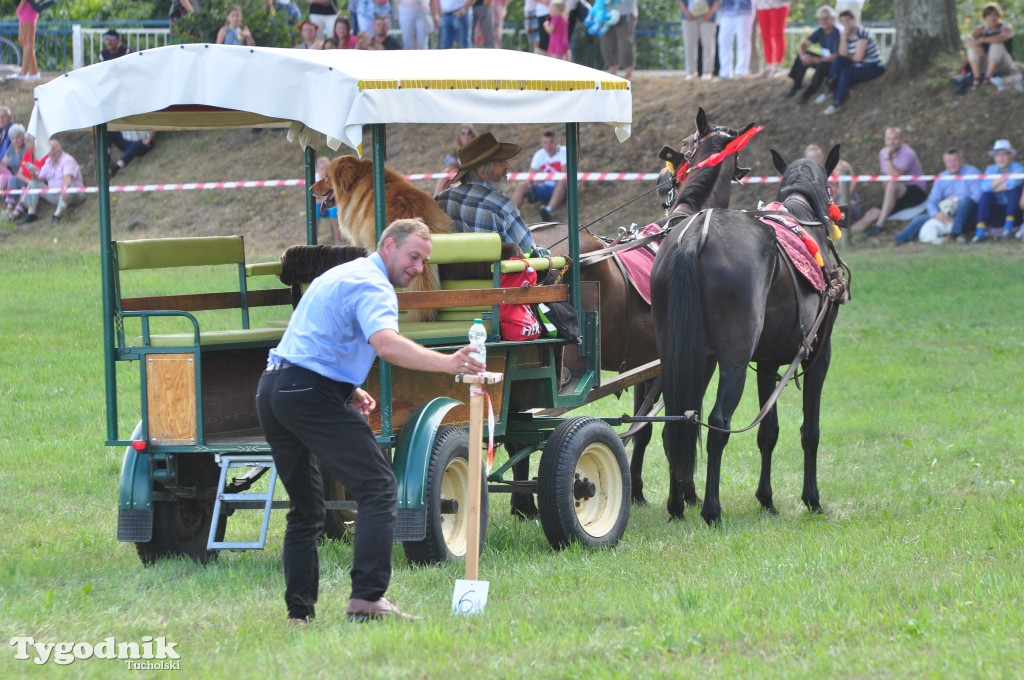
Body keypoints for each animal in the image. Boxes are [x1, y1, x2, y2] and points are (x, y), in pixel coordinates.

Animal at [516, 109, 757, 516]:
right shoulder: (696, 359)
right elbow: (678, 418)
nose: (661, 183)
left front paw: (640, 489)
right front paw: (684, 492)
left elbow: (643, 426)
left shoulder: (648, 363)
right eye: (688, 142)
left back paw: (521, 502)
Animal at [651, 144, 851, 524]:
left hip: (682, 355)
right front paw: (812, 499)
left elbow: (768, 432)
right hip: (734, 359)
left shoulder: (769, 362)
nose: (842, 216)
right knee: (718, 422)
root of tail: (694, 238)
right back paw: (712, 510)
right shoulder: (819, 355)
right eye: (832, 190)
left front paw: (767, 499)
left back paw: (676, 506)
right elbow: (810, 431)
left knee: (675, 424)